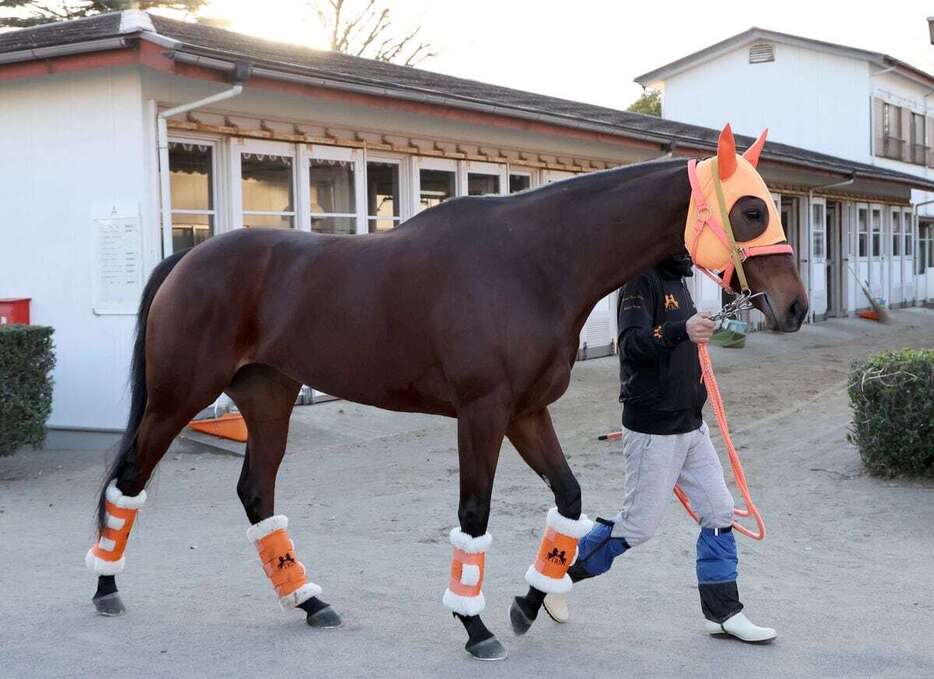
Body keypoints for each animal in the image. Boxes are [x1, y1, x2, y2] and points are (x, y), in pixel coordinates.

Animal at [88, 125, 812, 660]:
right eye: (751, 209)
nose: (796, 307)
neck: (532, 264)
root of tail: (188, 257)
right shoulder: (482, 412)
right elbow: (473, 514)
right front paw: (477, 626)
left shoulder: (526, 412)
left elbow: (569, 502)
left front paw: (530, 602)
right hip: (179, 396)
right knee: (130, 480)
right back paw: (104, 588)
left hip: (270, 397)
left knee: (256, 494)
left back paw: (311, 602)